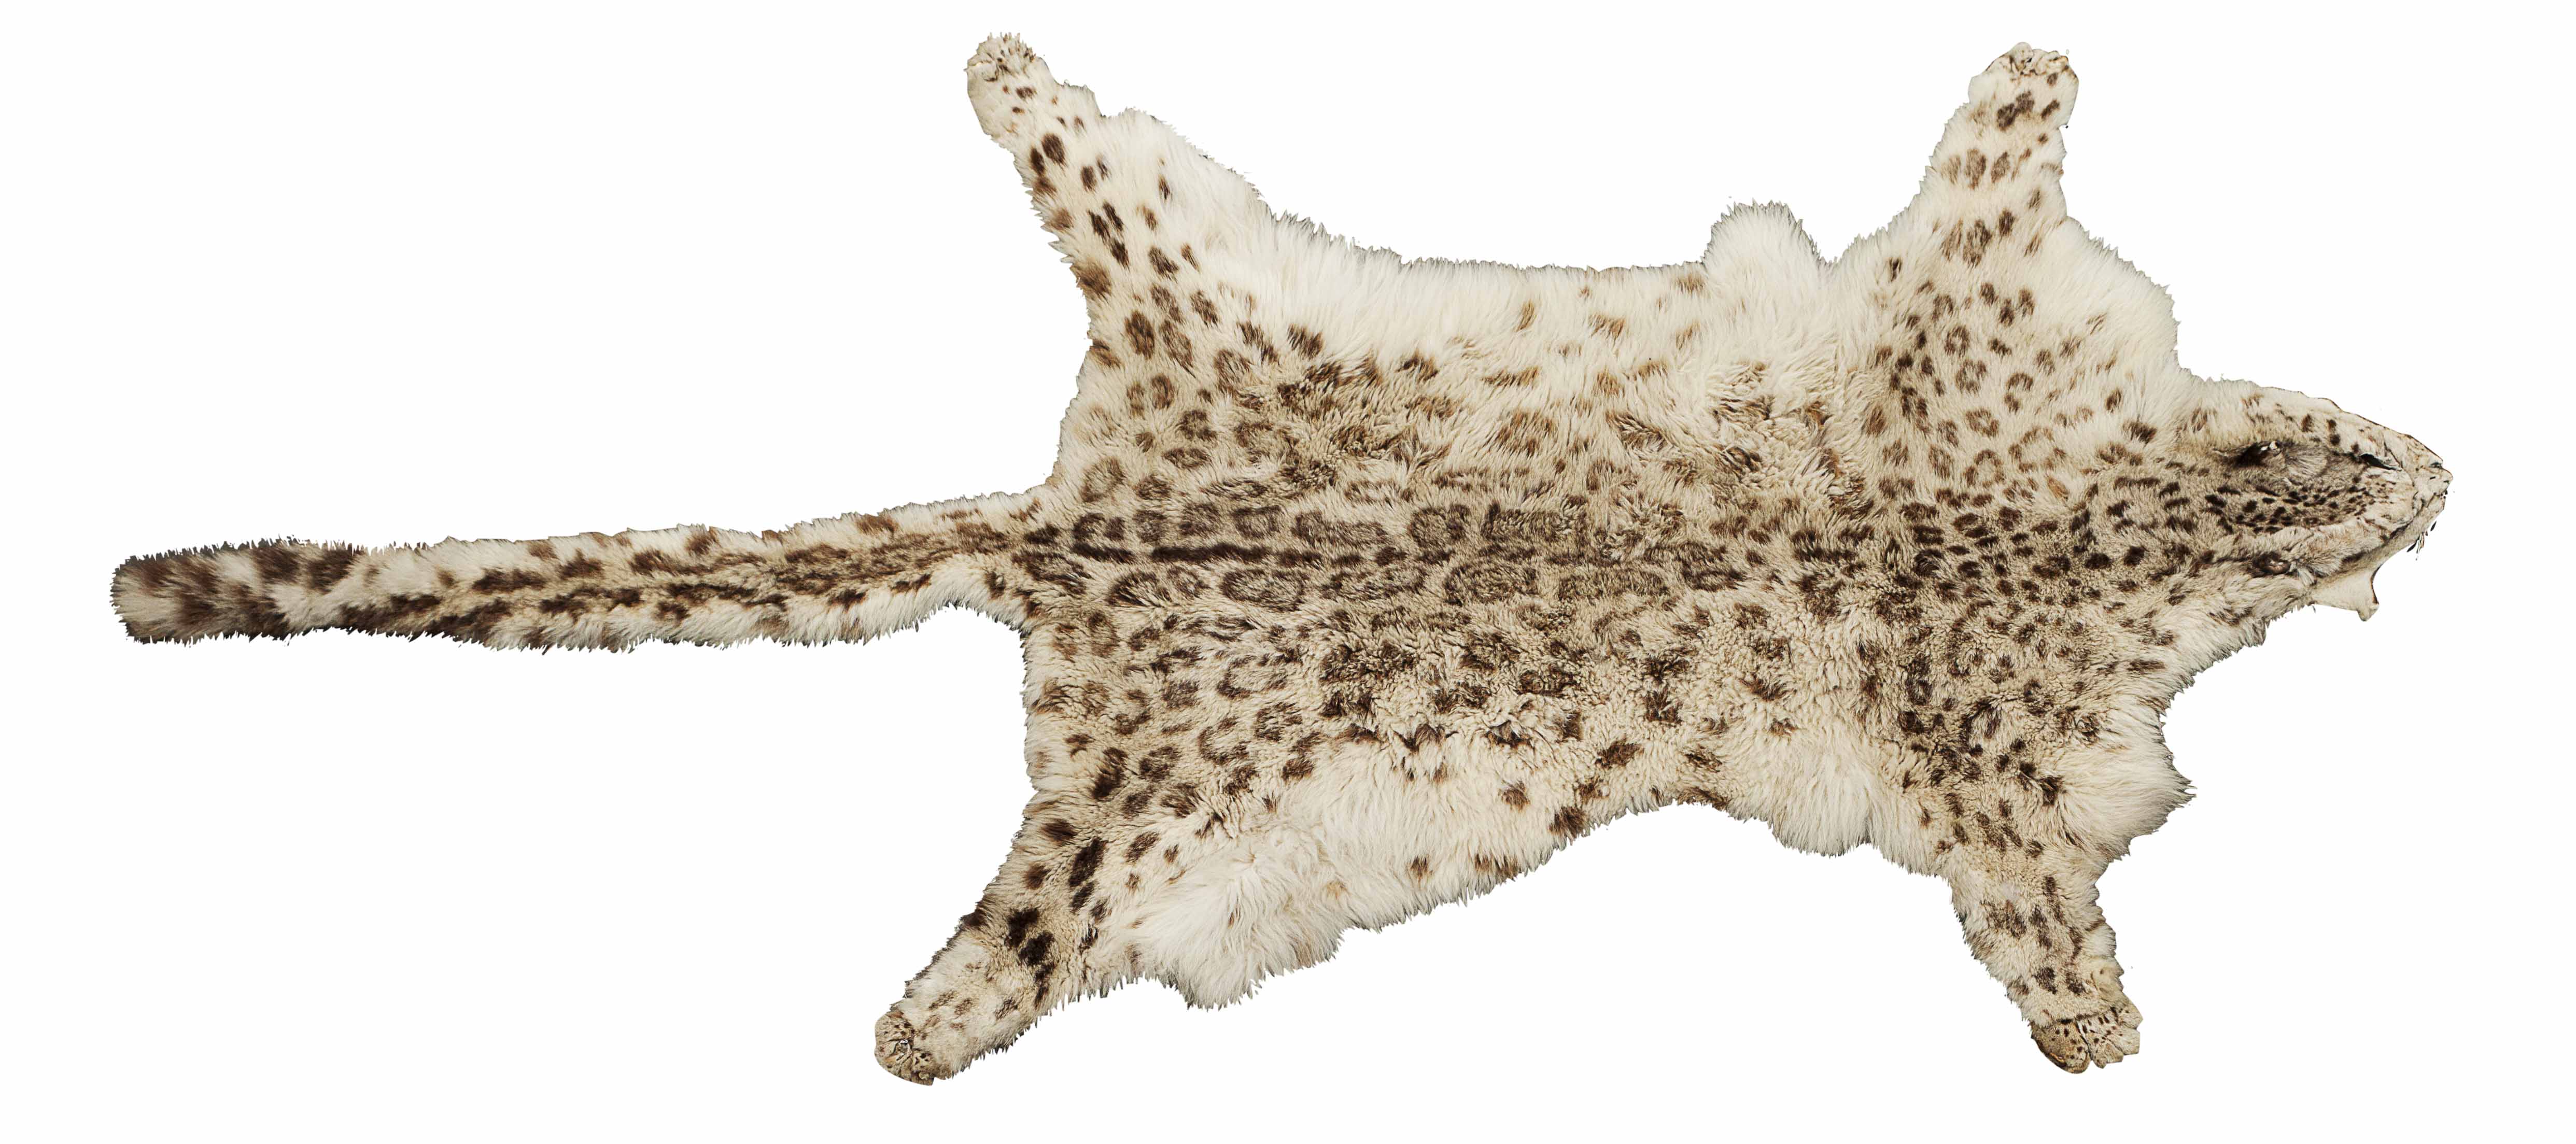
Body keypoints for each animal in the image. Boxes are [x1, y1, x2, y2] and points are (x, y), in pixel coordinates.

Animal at [112, 37, 2449, 1080]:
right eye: (2348, 445)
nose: (2436, 473)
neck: (2089, 514)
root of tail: (1078, 514)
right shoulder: (1979, 669)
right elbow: (2038, 915)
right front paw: (2099, 1027)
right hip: (1123, 735)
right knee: (976, 971)